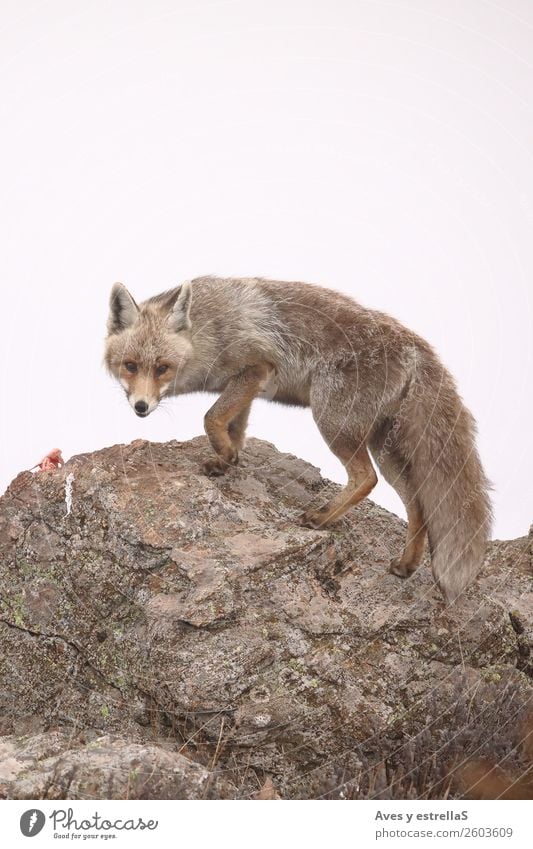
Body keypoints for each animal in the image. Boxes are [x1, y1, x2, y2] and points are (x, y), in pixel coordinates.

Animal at [106, 274, 492, 600]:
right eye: (130, 365)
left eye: (162, 368)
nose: (140, 407)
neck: (208, 329)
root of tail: (415, 344)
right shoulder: (246, 385)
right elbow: (234, 428)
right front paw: (228, 459)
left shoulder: (256, 367)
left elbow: (211, 417)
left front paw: (224, 455)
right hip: (385, 449)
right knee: (417, 505)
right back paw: (406, 564)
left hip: (333, 422)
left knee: (366, 479)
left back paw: (321, 518)